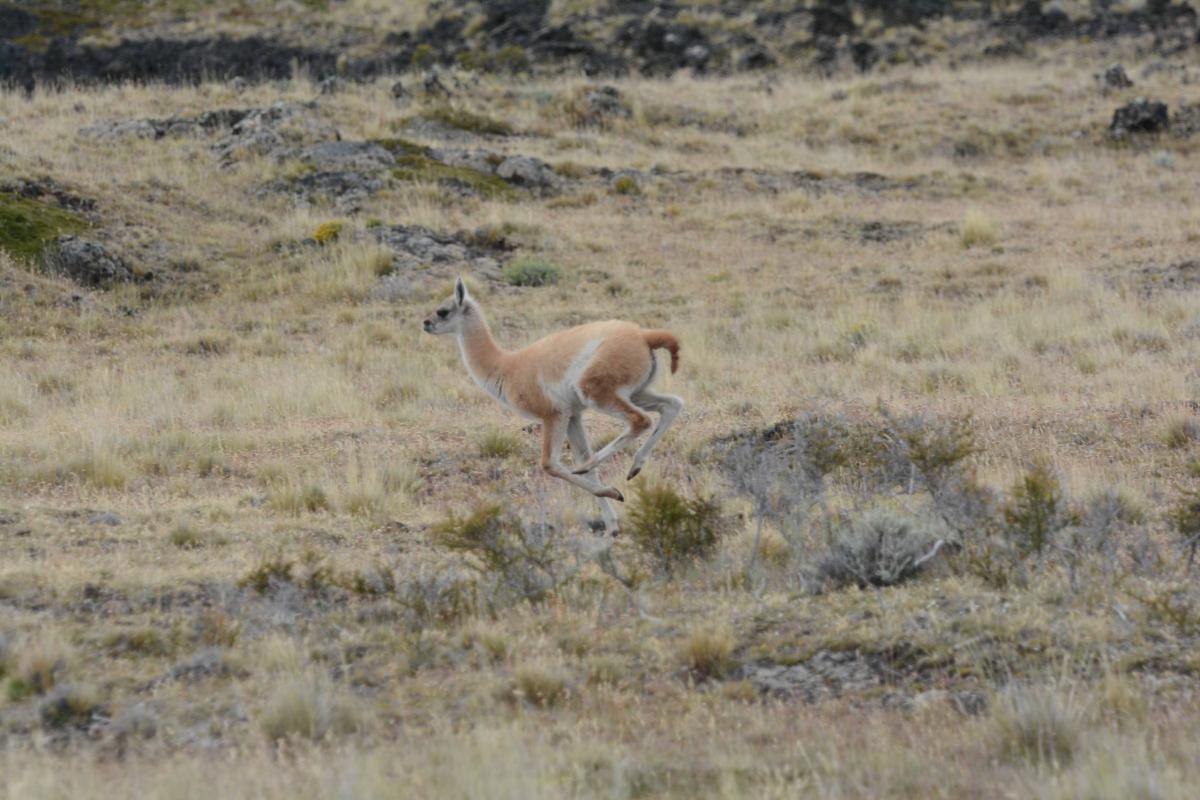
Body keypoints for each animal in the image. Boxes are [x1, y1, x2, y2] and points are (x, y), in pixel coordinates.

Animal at [423, 278, 684, 535]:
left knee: (640, 420)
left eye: (443, 311)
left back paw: (606, 465)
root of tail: (644, 336)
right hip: (636, 392)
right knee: (672, 404)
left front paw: (612, 493)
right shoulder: (573, 415)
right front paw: (612, 525)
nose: (425, 323)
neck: (507, 367)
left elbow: (549, 464)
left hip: (596, 391)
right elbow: (581, 456)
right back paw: (634, 466)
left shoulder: (553, 414)